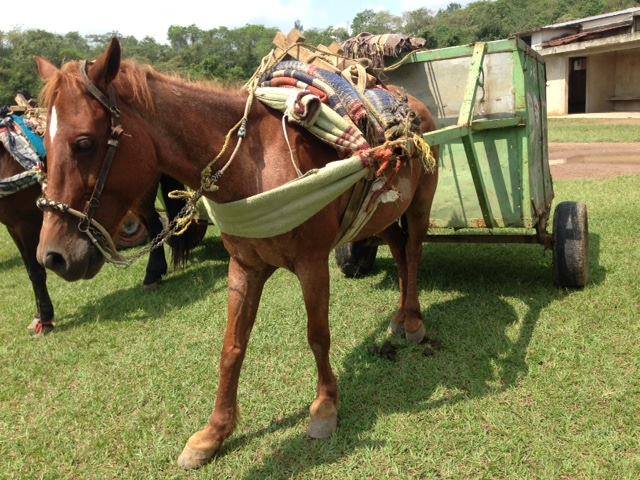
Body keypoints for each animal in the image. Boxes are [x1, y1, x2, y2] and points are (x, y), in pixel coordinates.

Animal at [0, 135, 204, 334]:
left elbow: (36, 271)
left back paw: (152, 274)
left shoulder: (26, 223)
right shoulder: (13, 227)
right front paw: (39, 316)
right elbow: (30, 270)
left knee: (154, 225)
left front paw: (45, 319)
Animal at [34, 38, 438, 468]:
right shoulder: (244, 267)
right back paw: (400, 316)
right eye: (45, 150)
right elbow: (232, 347)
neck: (255, 168)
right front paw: (214, 433)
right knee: (398, 251)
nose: (52, 256)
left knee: (413, 253)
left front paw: (325, 407)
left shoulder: (312, 263)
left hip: (419, 204)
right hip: (382, 214)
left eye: (84, 143)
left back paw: (414, 321)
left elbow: (317, 335)